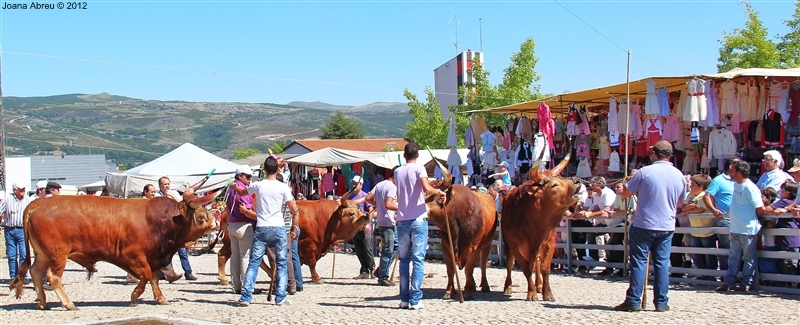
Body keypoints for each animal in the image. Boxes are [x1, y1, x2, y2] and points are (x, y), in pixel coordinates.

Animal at [10, 176, 222, 308]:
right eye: (201, 217)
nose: (216, 222)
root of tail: (38, 203)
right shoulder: (133, 255)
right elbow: (146, 275)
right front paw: (135, 295)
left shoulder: (152, 256)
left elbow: (153, 276)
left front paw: (160, 298)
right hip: (57, 254)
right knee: (53, 278)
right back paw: (68, 303)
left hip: (43, 254)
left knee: (36, 272)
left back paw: (42, 302)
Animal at [500, 149, 580, 302]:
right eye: (554, 185)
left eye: (563, 178)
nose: (577, 181)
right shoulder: (514, 246)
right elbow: (525, 268)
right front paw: (531, 293)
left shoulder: (550, 244)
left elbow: (545, 269)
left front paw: (547, 293)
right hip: (508, 246)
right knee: (509, 263)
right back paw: (508, 287)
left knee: (536, 263)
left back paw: (539, 285)